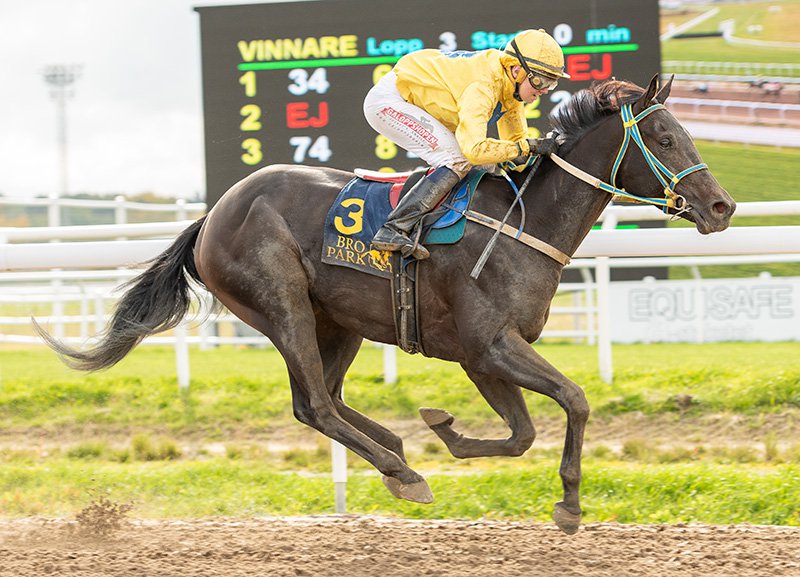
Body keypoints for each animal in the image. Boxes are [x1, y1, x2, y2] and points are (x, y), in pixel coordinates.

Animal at [37, 74, 736, 532]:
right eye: (664, 137)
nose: (723, 206)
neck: (523, 222)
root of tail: (213, 214)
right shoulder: (489, 345)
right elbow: (574, 399)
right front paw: (568, 505)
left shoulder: (482, 356)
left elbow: (521, 433)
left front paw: (446, 429)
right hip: (282, 304)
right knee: (316, 404)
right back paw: (402, 472)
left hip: (338, 320)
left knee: (321, 399)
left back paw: (396, 450)